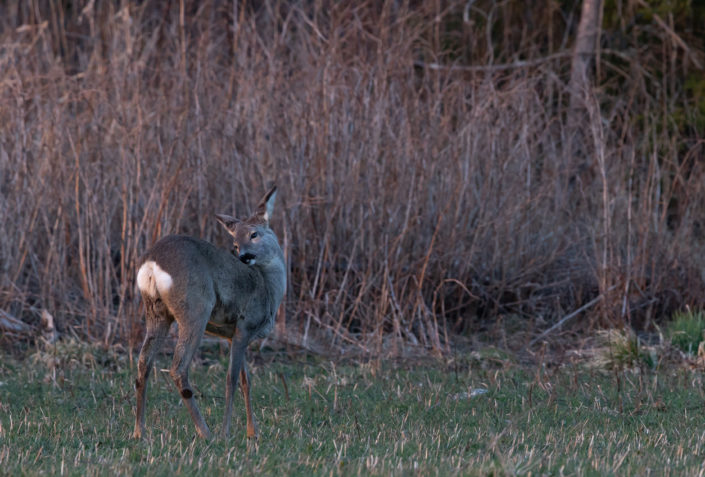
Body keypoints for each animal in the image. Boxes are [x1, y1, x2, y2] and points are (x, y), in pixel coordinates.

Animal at [132, 185, 286, 438]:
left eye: (254, 234)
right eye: (235, 243)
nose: (243, 256)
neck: (269, 289)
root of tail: (152, 264)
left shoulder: (233, 334)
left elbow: (246, 381)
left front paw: (252, 432)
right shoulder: (245, 325)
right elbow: (231, 379)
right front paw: (227, 431)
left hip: (156, 312)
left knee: (143, 363)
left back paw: (139, 431)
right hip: (196, 308)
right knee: (178, 367)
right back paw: (206, 432)